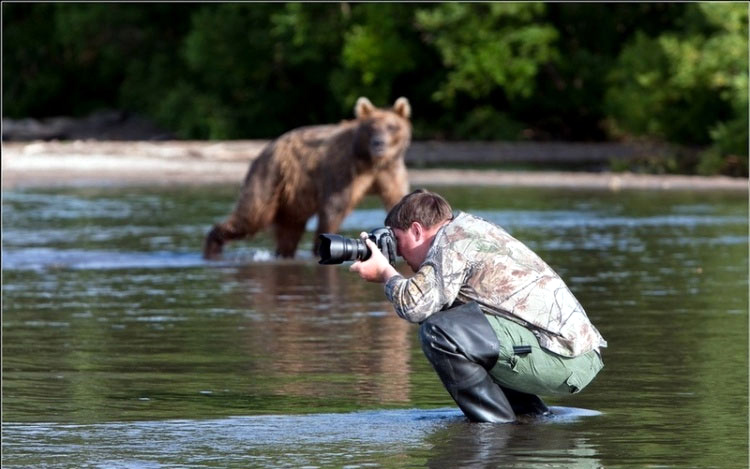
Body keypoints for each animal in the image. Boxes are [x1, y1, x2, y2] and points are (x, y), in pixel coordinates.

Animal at [204, 96, 412, 258]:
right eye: (371, 127)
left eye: (392, 127)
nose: (379, 143)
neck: (370, 161)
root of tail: (266, 149)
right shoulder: (343, 170)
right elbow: (333, 207)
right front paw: (320, 246)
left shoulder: (390, 171)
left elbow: (397, 198)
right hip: (269, 177)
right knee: (252, 216)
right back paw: (212, 246)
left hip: (293, 197)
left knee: (289, 231)